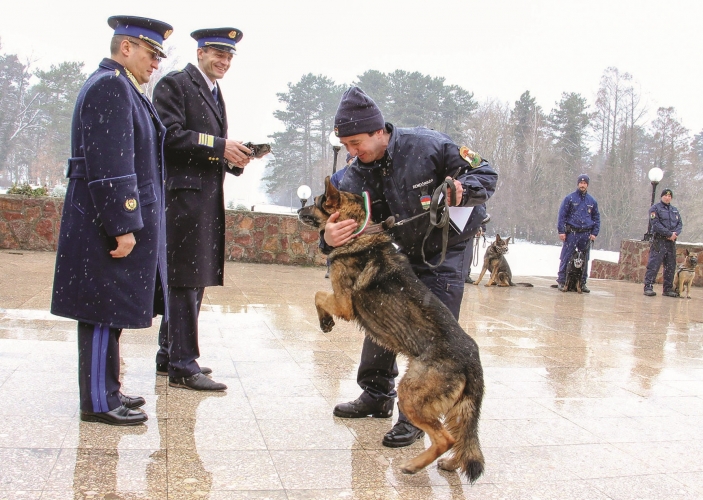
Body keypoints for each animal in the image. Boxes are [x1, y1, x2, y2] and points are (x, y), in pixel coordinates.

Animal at [300, 178, 486, 482]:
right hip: (458, 408)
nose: (298, 209)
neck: (361, 231)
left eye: (316, 202)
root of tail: (472, 359)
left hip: (411, 394)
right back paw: (450, 464)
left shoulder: (343, 303)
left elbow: (318, 295)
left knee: (444, 438)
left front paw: (325, 322)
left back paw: (414, 465)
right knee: (461, 438)